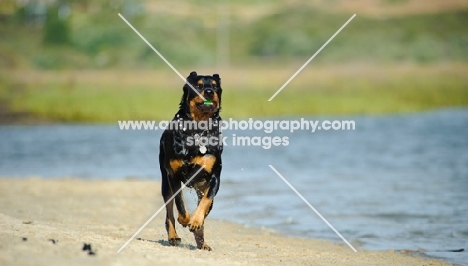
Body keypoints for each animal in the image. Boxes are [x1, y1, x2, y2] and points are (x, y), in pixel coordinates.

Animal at [159, 71, 223, 251]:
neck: (197, 129)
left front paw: (195, 221)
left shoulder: (214, 176)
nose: (209, 92)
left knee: (205, 207)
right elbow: (179, 202)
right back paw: (173, 236)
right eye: (198, 85)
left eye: (215, 86)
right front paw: (185, 219)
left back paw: (202, 242)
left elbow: (205, 201)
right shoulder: (173, 175)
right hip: (165, 183)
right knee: (169, 212)